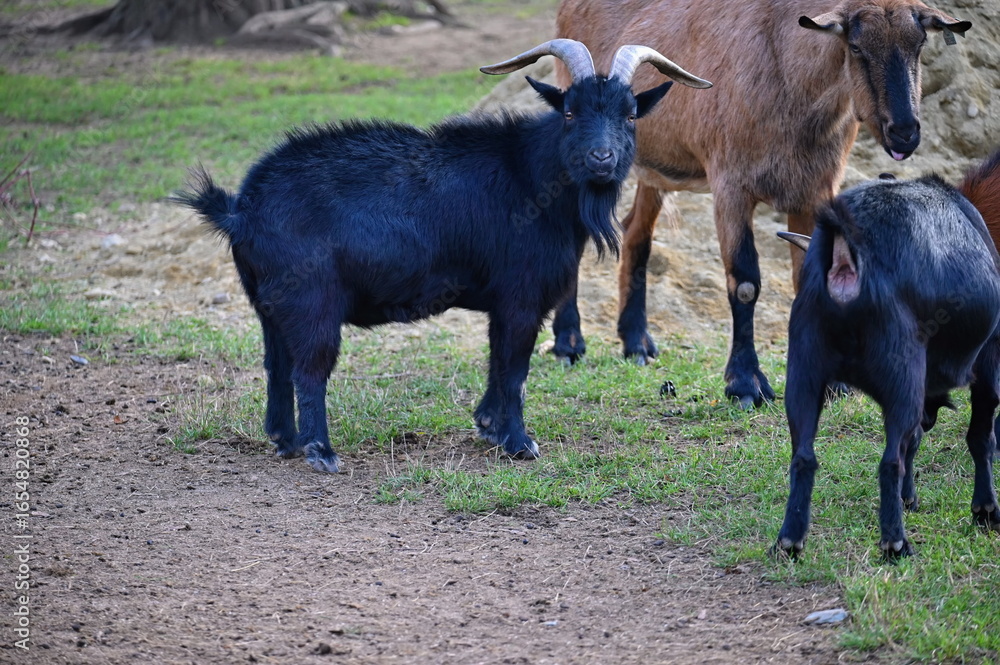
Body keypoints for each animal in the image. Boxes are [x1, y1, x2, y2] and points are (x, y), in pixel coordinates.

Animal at [172, 40, 711, 473]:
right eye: (570, 113)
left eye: (630, 114)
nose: (602, 159)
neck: (532, 177)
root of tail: (241, 209)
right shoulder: (520, 297)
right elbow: (514, 368)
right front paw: (519, 442)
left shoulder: (503, 303)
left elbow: (497, 361)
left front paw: (489, 426)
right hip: (312, 302)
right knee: (309, 369)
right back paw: (321, 451)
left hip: (269, 305)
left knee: (276, 364)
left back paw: (286, 441)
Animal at [553, 0, 972, 408]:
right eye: (855, 47)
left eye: (919, 45)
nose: (904, 133)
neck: (785, 73)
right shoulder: (731, 186)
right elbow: (744, 283)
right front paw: (746, 384)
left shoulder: (814, 190)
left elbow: (810, 276)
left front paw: (833, 384)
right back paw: (568, 344)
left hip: (652, 169)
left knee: (637, 232)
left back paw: (636, 343)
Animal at [774, 156, 1000, 559]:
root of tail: (846, 260)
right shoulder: (988, 358)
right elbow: (979, 436)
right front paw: (985, 510)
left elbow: (918, 438)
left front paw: (911, 498)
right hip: (902, 376)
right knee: (890, 460)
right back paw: (895, 542)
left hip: (804, 372)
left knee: (803, 456)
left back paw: (790, 540)